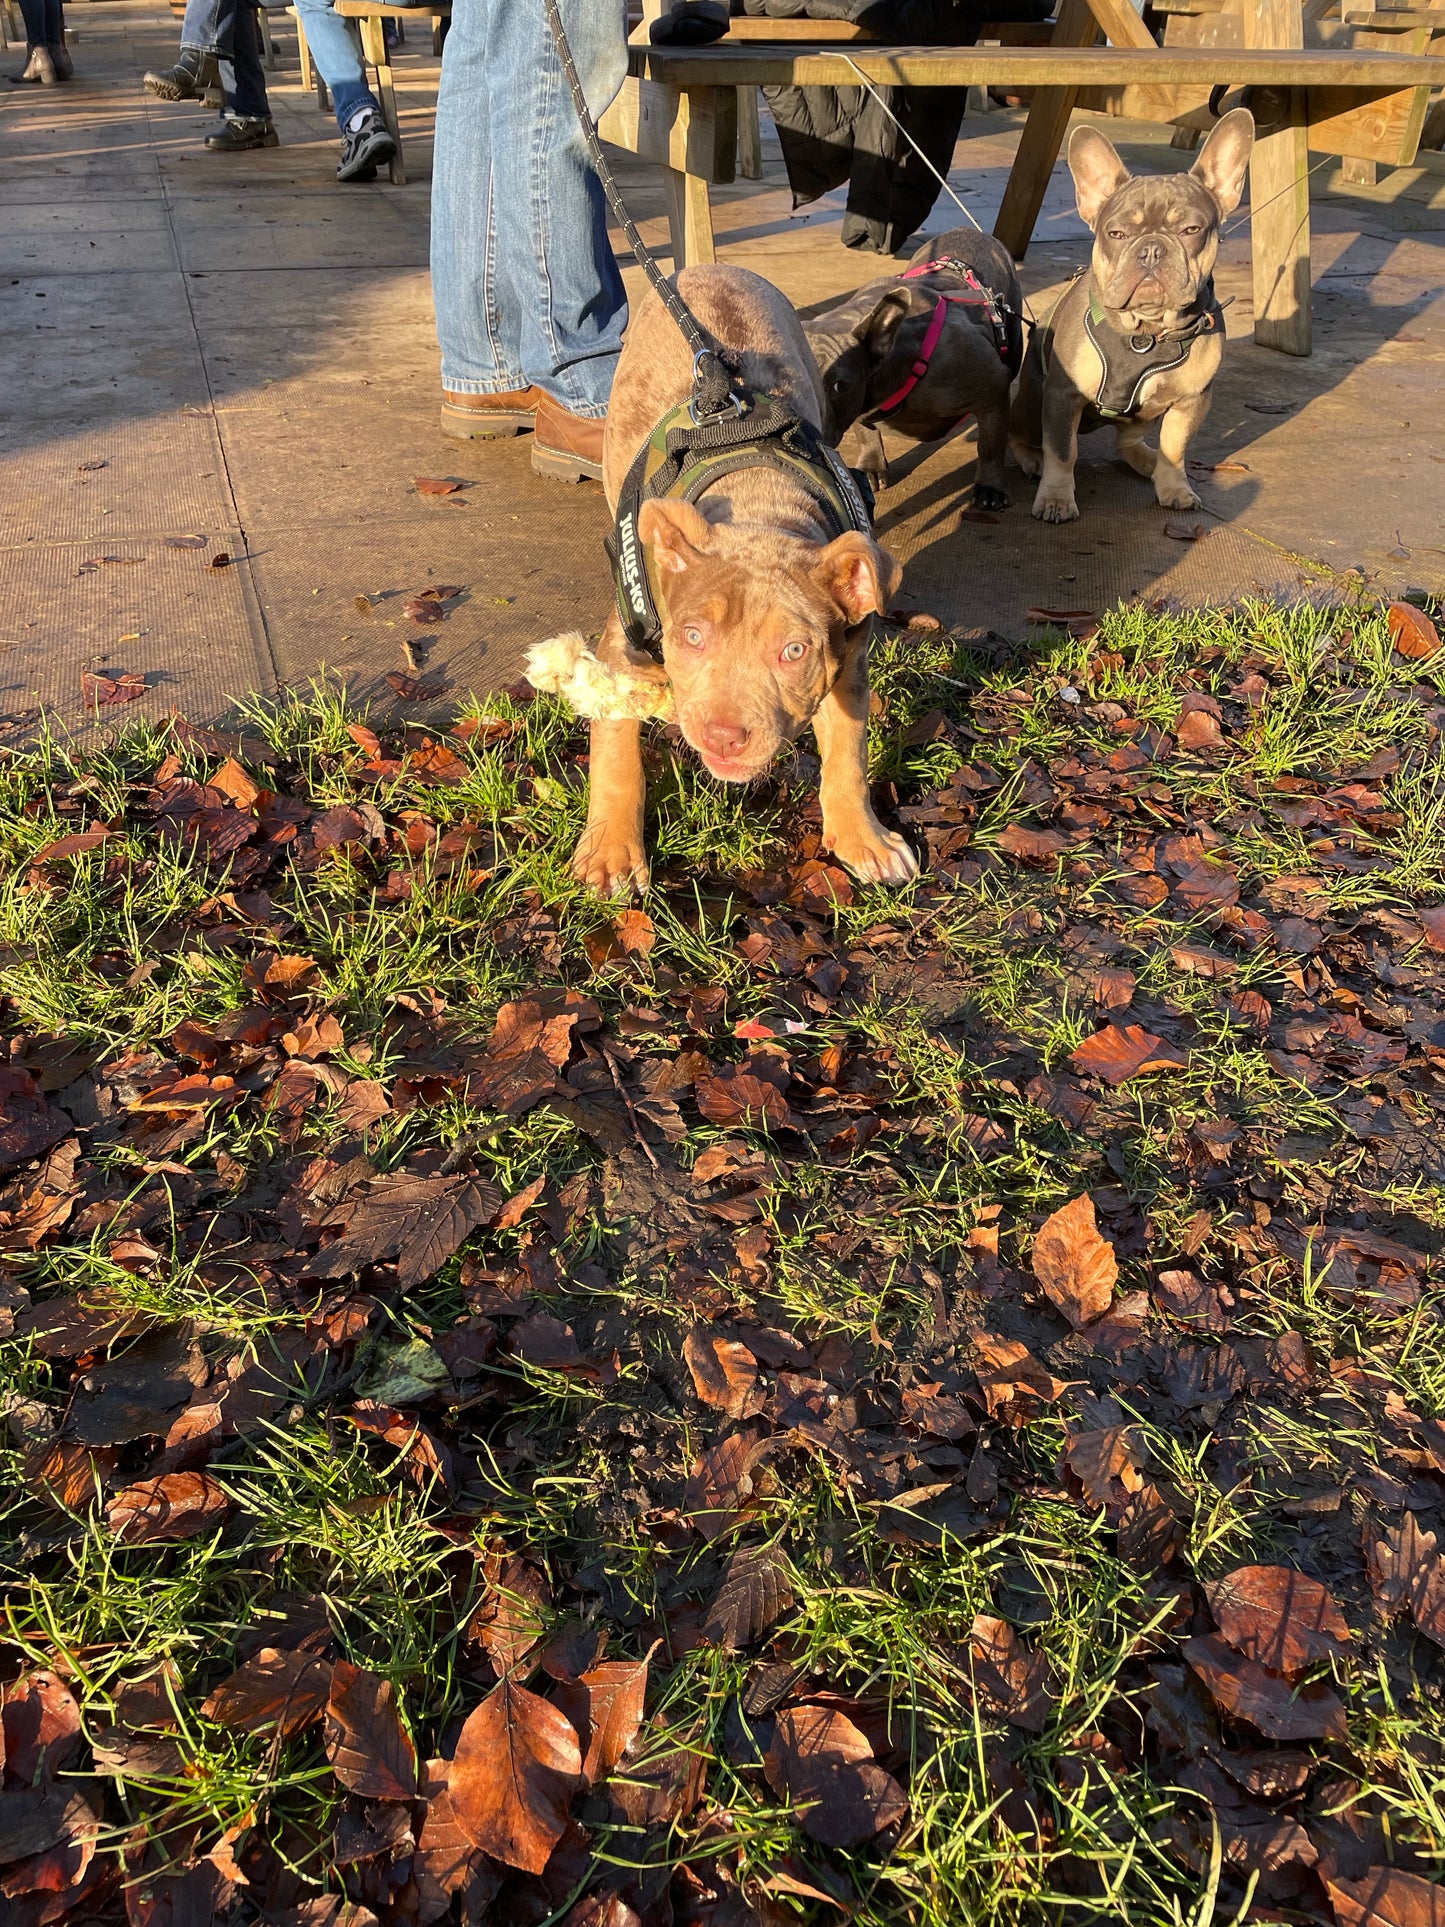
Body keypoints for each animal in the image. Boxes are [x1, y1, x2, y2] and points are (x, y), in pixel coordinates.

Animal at [1017, 109, 1256, 524]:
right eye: (1116, 233)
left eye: (1191, 230)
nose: (1152, 249)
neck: (1146, 333)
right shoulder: (1062, 396)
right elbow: (1062, 452)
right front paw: (1056, 499)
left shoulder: (1191, 401)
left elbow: (1175, 447)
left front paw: (1174, 486)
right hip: (1032, 400)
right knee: (1027, 439)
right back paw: (1033, 461)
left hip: (1145, 414)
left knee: (1128, 441)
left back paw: (1148, 461)